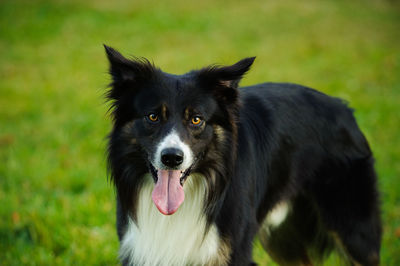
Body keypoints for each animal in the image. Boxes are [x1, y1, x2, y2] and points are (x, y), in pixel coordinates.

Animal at [103, 45, 382, 266]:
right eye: (152, 116)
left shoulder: (231, 251)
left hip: (353, 229)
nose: (172, 158)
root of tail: (345, 108)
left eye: (196, 119)